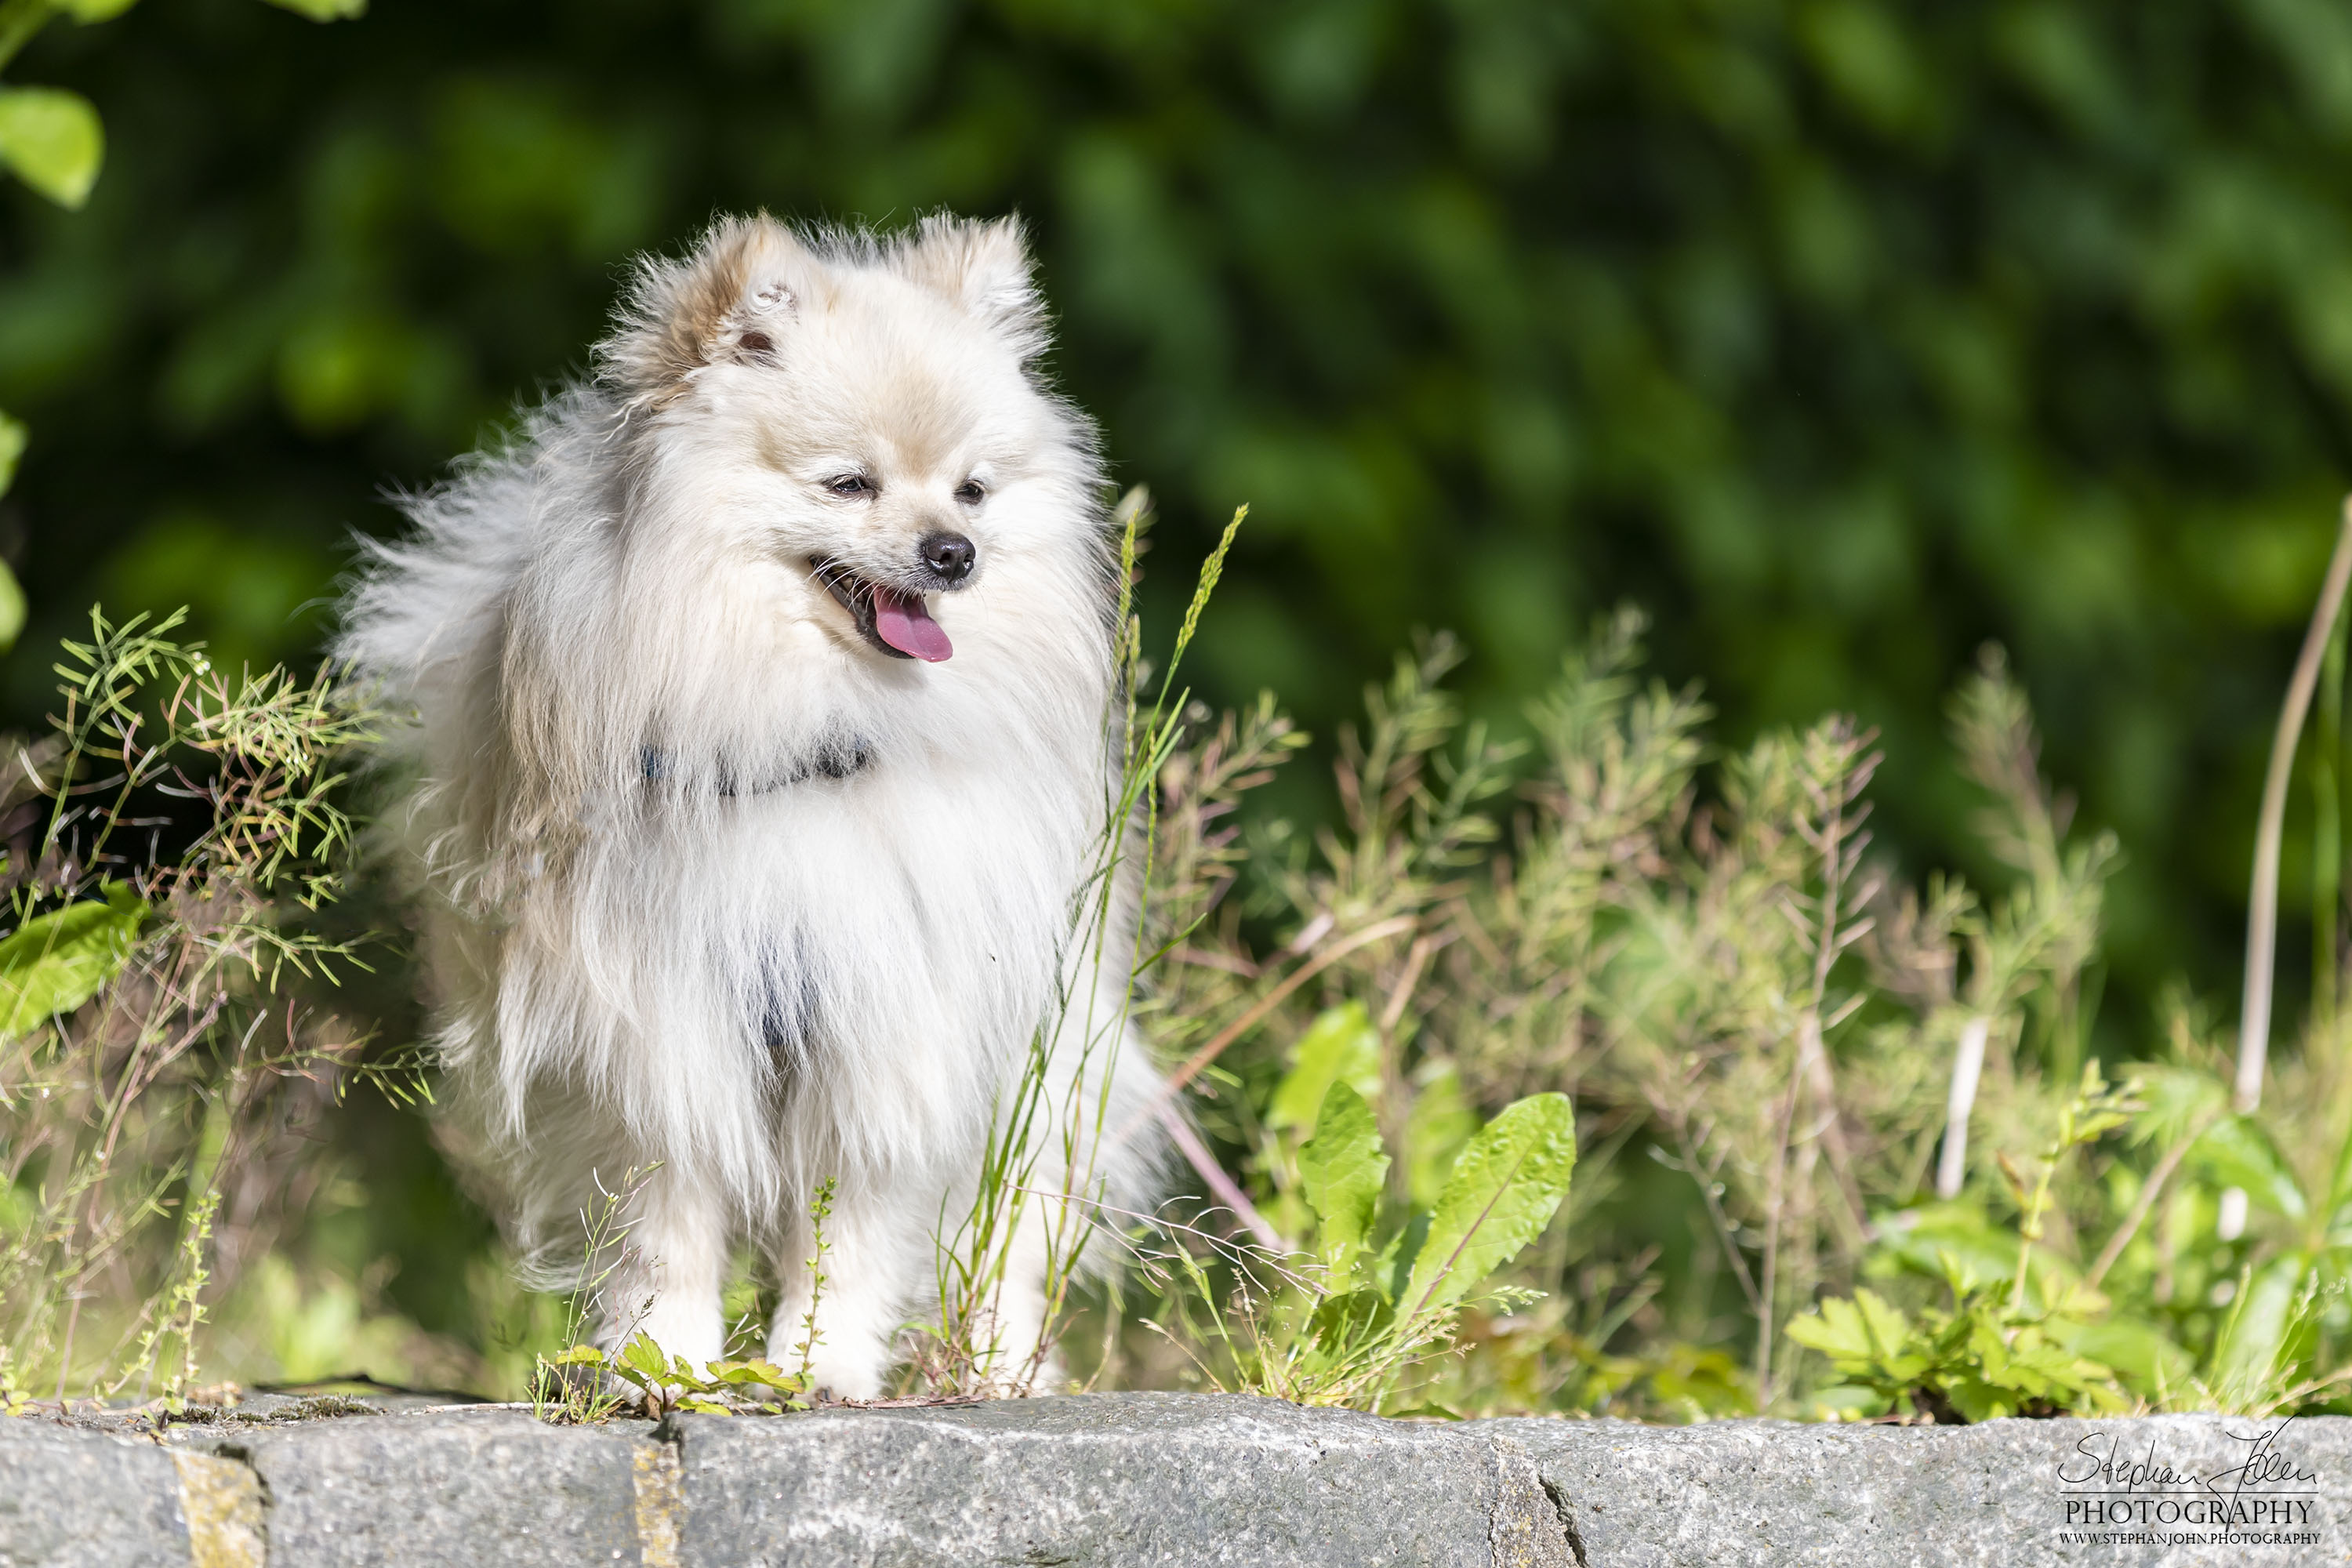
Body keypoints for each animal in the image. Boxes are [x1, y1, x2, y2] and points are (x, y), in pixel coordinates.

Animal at [336, 211, 1162, 1401]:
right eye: (851, 484)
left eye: (972, 490)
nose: (954, 554)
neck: (804, 736)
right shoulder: (657, 1034)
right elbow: (665, 1231)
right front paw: (663, 1364)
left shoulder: (886, 1029)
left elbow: (847, 1238)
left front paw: (820, 1366)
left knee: (1009, 1235)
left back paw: (1003, 1369)